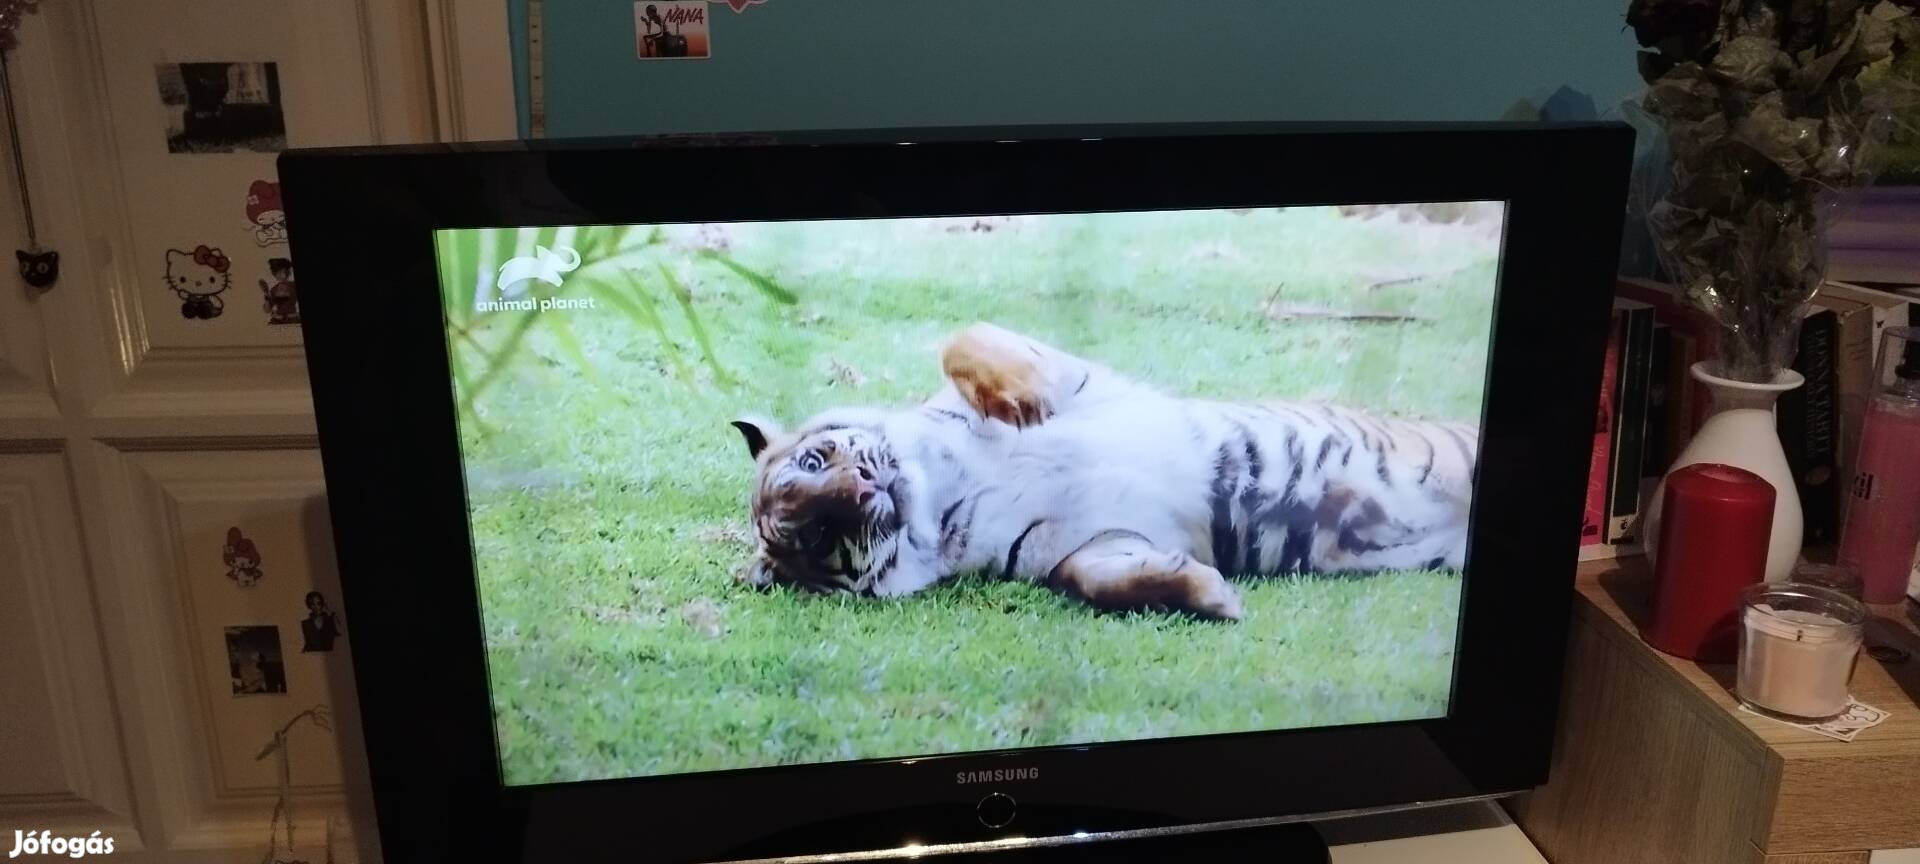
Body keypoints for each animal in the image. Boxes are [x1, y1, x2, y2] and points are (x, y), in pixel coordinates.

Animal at [725, 326, 1474, 622]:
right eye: (820, 534)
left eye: (815, 462)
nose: (860, 490)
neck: (946, 497)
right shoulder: (1092, 542)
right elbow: (1097, 578)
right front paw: (1208, 594)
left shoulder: (1077, 374)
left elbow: (966, 341)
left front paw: (1020, 403)